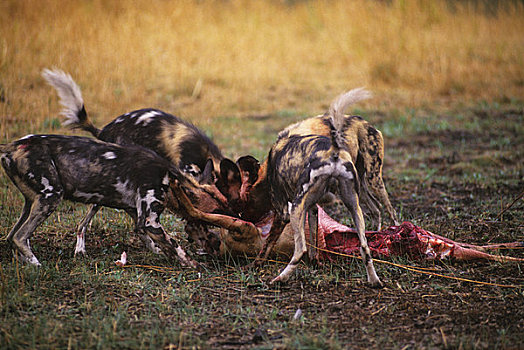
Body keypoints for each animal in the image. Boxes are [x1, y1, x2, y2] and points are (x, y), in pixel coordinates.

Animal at [0, 133, 233, 266]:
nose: (216, 241)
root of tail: (10, 147)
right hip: (51, 196)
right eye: (216, 214)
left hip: (32, 202)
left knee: (12, 236)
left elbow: (150, 240)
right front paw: (193, 264)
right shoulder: (149, 220)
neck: (169, 178)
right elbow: (175, 245)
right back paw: (36, 265)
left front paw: (161, 253)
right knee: (20, 236)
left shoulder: (137, 214)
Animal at [43, 69, 244, 254]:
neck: (206, 155)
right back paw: (80, 247)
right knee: (87, 219)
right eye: (221, 207)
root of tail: (103, 131)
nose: (238, 216)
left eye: (229, 202)